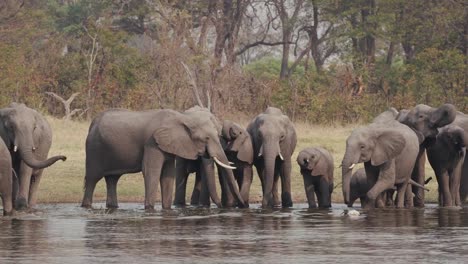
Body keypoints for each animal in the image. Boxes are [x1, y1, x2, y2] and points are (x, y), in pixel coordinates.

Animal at [81, 107, 245, 210]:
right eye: (206, 138)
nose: (242, 206)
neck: (183, 119)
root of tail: (92, 123)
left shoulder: (170, 144)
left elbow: (168, 175)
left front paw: (166, 209)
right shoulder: (152, 143)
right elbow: (151, 171)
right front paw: (150, 209)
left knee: (112, 179)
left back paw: (113, 207)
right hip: (94, 149)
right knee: (92, 179)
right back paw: (86, 207)